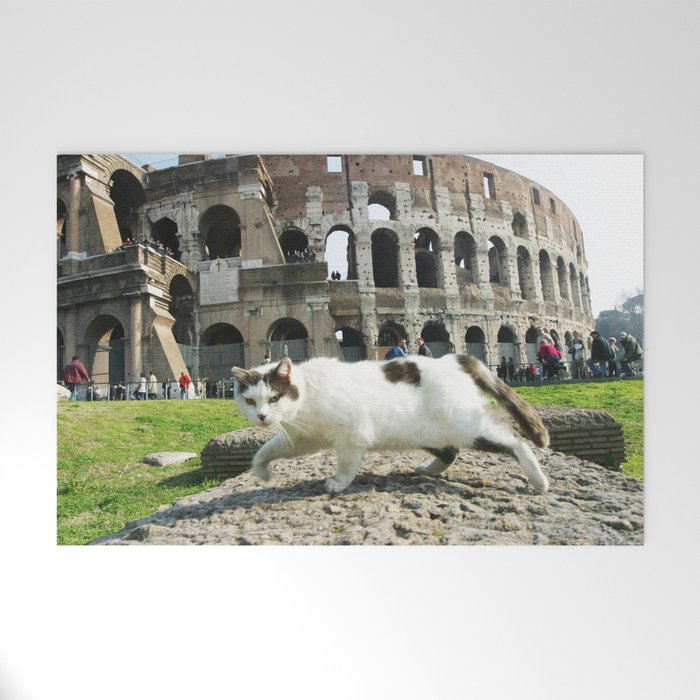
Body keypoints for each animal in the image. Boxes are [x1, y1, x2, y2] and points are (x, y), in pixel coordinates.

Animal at [232, 356, 548, 498]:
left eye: (274, 398)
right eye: (250, 401)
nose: (262, 416)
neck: (308, 394)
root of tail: (453, 359)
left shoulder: (352, 435)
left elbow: (347, 463)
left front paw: (339, 482)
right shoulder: (303, 438)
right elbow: (266, 450)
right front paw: (262, 472)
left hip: (468, 426)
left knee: (515, 441)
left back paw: (539, 480)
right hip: (427, 432)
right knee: (451, 452)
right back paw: (427, 470)